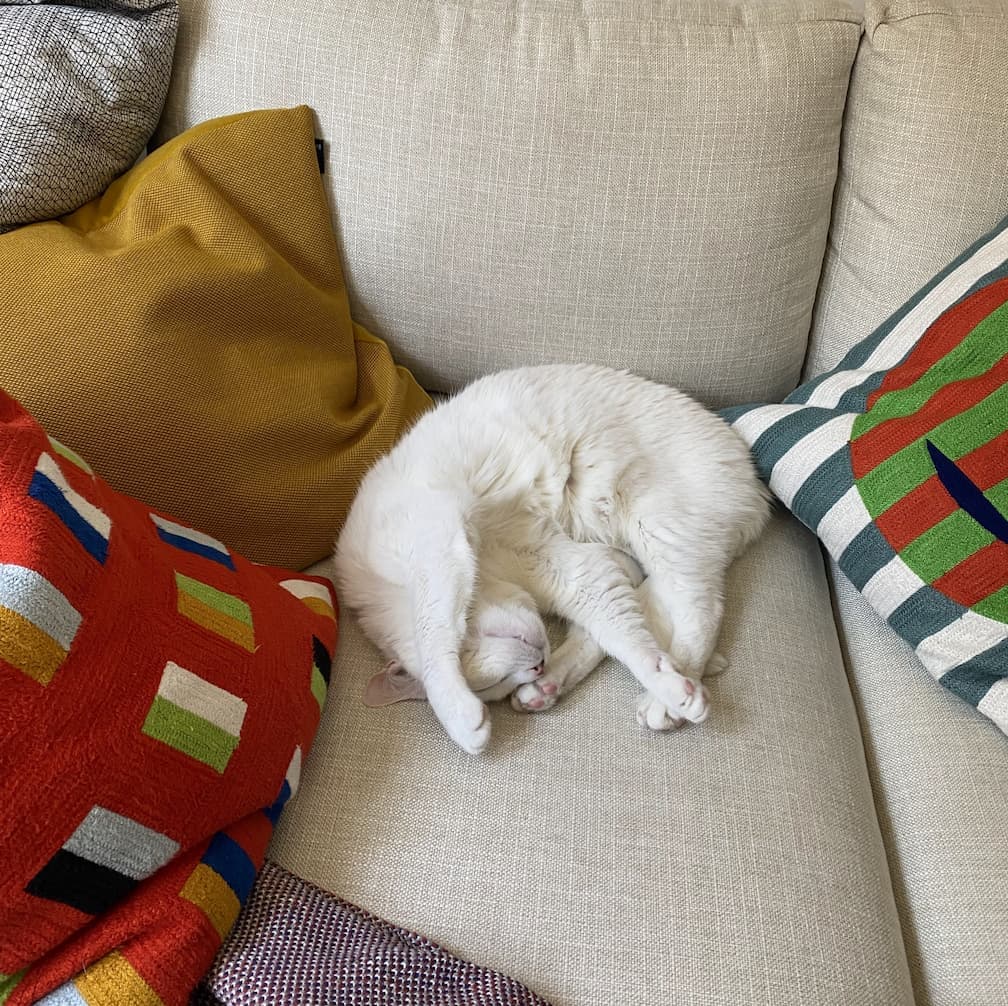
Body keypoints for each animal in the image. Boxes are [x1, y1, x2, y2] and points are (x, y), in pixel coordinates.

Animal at [334, 366, 766, 753]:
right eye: (497, 686)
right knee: (630, 619)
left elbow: (433, 636)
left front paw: (461, 721)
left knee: (702, 611)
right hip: (650, 551)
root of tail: (754, 480)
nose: (537, 665)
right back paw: (547, 688)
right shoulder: (570, 566)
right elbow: (621, 633)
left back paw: (669, 701)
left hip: (662, 528)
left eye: (482, 679)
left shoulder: (434, 545)